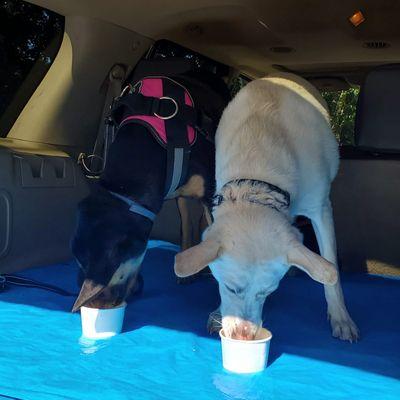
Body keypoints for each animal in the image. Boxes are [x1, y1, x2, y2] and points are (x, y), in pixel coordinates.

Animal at [175, 72, 360, 340]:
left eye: (268, 292)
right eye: (230, 288)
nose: (243, 337)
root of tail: (281, 74)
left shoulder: (321, 209)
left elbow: (331, 268)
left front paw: (341, 317)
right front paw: (219, 311)